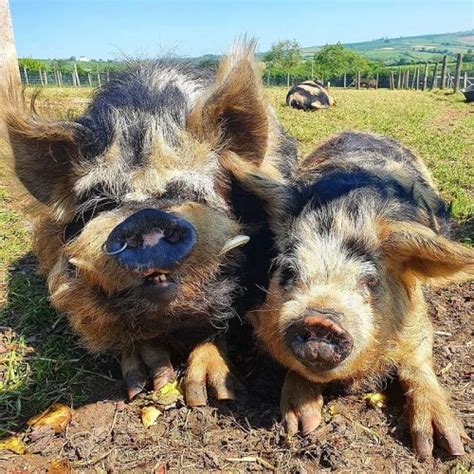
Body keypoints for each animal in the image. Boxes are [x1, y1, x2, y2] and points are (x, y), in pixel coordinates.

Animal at [224, 131, 474, 462]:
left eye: (370, 280)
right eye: (289, 271)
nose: (320, 319)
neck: (345, 211)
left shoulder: (418, 316)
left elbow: (418, 362)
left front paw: (442, 449)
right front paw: (302, 424)